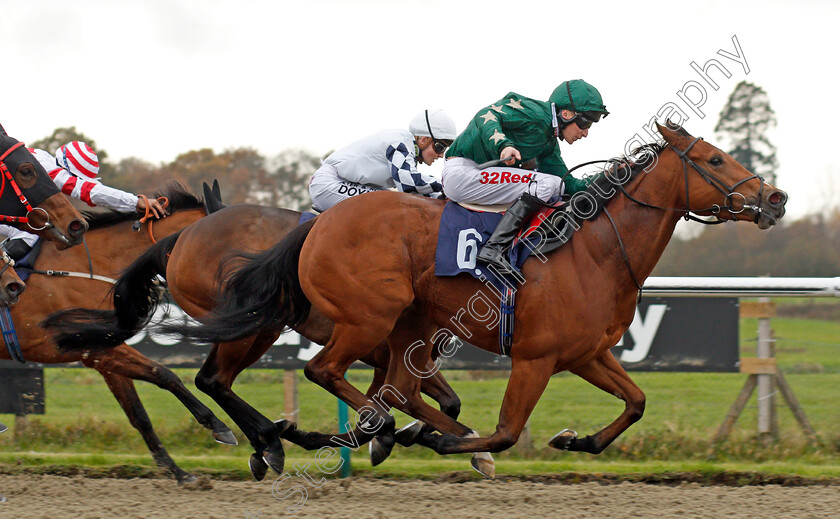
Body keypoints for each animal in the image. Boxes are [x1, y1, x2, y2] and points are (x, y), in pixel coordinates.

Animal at [9, 184, 233, 484]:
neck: (87, 267)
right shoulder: (96, 349)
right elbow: (165, 374)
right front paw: (217, 424)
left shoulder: (103, 353)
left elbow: (139, 412)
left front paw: (177, 471)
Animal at [144, 125, 788, 472]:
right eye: (713, 159)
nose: (776, 198)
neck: (595, 250)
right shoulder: (535, 357)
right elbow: (502, 430)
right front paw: (453, 444)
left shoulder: (586, 353)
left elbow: (636, 402)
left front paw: (575, 439)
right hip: (356, 318)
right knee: (312, 373)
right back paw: (304, 438)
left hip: (400, 324)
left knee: (382, 392)